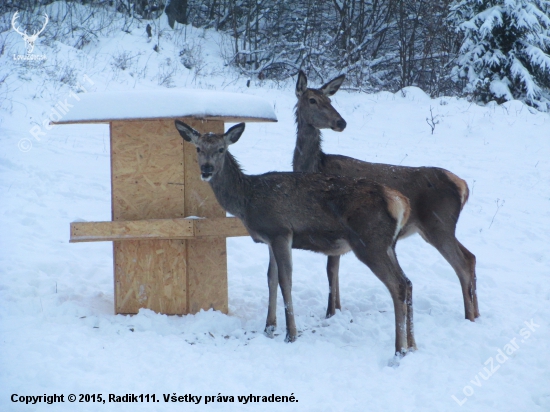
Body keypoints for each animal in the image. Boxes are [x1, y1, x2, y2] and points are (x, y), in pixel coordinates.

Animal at [177, 120, 418, 358]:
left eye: (221, 149)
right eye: (198, 148)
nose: (207, 169)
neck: (247, 201)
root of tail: (400, 202)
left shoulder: (280, 231)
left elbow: (286, 280)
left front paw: (290, 334)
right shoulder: (270, 239)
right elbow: (271, 278)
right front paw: (269, 327)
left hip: (369, 242)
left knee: (396, 284)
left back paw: (399, 349)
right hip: (388, 245)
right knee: (407, 281)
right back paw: (413, 345)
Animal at [296, 70, 480, 322]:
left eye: (330, 100)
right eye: (313, 100)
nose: (340, 122)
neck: (316, 166)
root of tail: (463, 186)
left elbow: (330, 271)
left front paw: (330, 313)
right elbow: (335, 270)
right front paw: (338, 309)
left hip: (439, 225)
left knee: (461, 264)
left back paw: (469, 317)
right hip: (435, 228)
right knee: (471, 257)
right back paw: (477, 313)